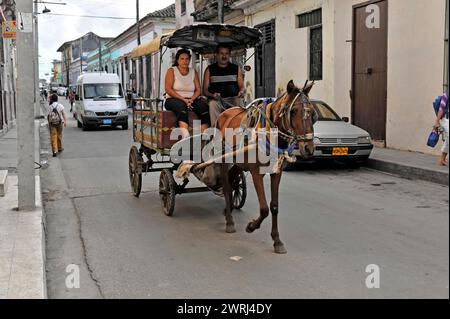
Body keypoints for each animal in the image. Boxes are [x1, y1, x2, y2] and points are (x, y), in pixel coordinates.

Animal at [215, 80, 316, 255]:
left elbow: (274, 206)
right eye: (293, 111)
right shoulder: (256, 173)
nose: (308, 148)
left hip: (239, 161)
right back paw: (229, 221)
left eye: (311, 112)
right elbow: (264, 209)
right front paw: (251, 226)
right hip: (223, 159)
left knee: (232, 179)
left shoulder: (276, 172)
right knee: (227, 187)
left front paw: (277, 240)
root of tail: (225, 112)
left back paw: (229, 209)